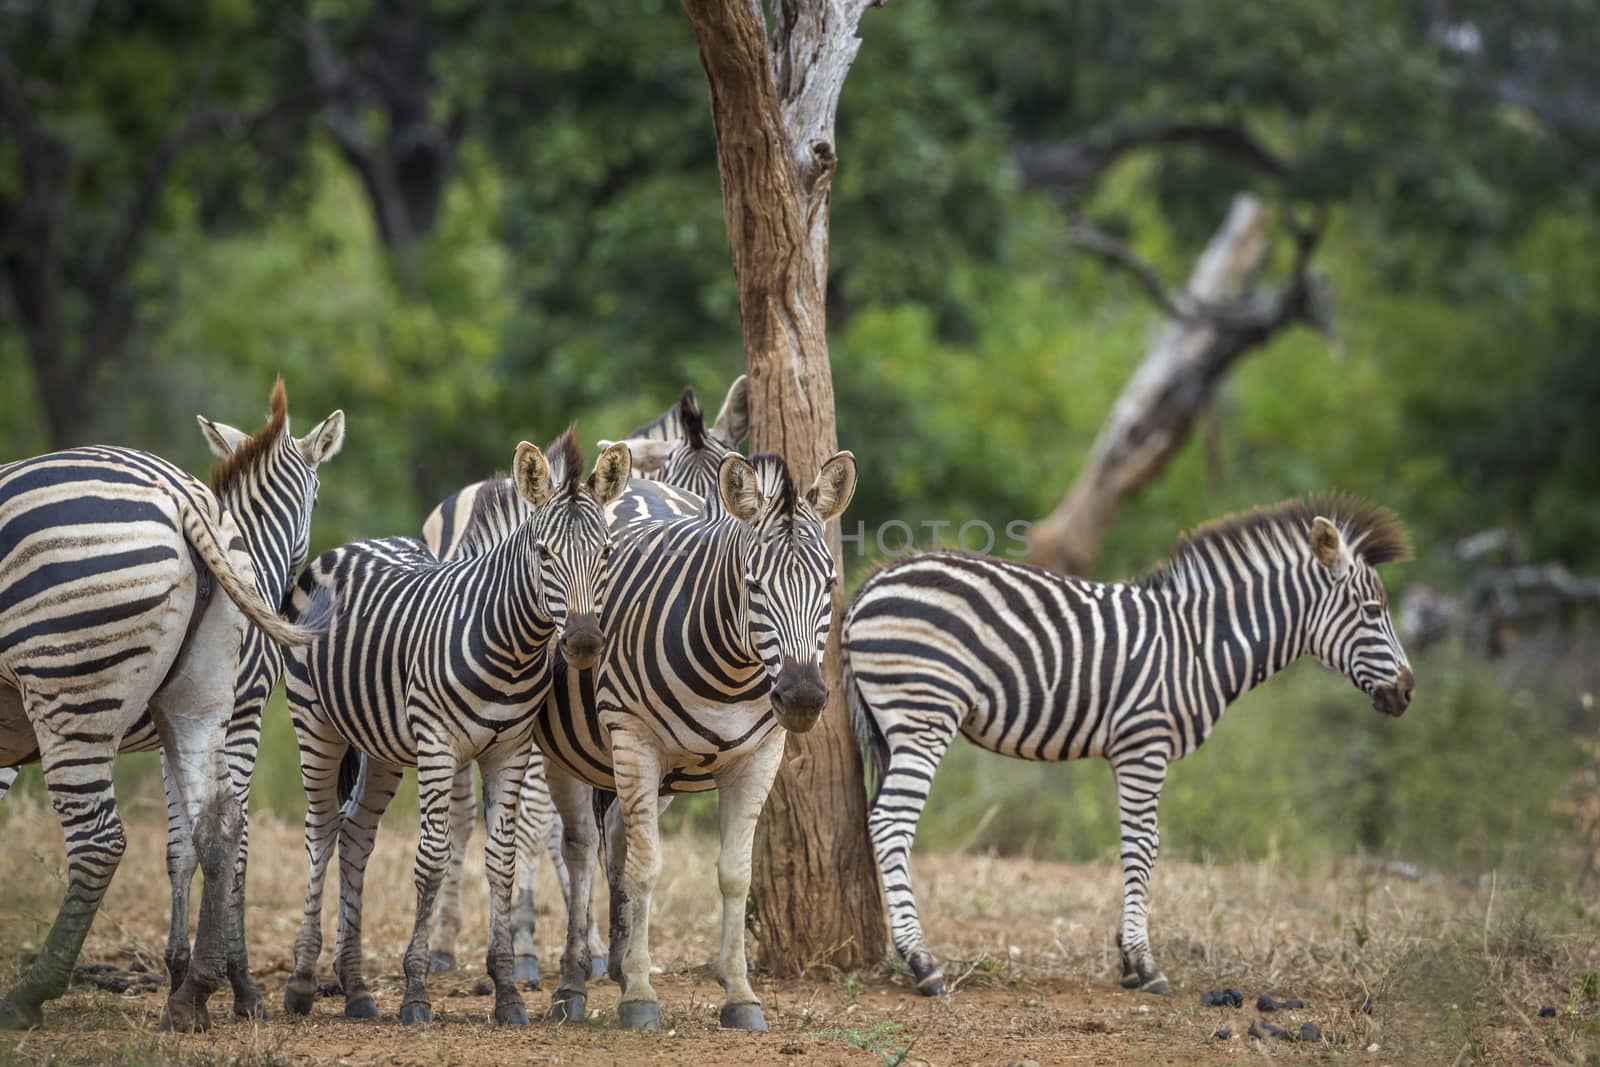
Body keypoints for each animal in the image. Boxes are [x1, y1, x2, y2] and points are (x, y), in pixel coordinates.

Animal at [0, 428, 324, 1036]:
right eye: (314, 499)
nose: (294, 587)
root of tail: (179, 497)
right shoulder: (238, 721)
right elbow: (219, 849)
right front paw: (226, 982)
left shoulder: (189, 725)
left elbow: (192, 846)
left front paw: (190, 977)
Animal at [278, 431, 627, 1023]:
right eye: (543, 553)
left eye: (605, 553)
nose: (583, 643)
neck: (508, 644)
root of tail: (351, 545)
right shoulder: (438, 746)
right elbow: (433, 860)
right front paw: (416, 989)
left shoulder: (510, 750)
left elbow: (502, 862)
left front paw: (507, 990)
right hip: (316, 723)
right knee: (322, 830)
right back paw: (302, 981)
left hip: (381, 746)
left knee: (355, 834)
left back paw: (356, 988)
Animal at [531, 447, 857, 1030]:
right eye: (753, 585)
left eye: (828, 583)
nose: (801, 697)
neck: (732, 673)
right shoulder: (635, 741)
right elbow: (648, 870)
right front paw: (640, 997)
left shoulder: (760, 757)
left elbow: (735, 875)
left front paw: (741, 994)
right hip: (573, 754)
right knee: (581, 849)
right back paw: (573, 984)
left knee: (617, 842)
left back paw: (618, 965)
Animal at [838, 495, 1414, 998]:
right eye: (1372, 610)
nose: (1408, 692)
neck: (1200, 647)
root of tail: (873, 583)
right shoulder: (1145, 744)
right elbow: (1144, 846)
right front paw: (1144, 963)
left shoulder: (1126, 753)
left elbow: (1134, 844)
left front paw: (1125, 958)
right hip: (925, 715)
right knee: (891, 822)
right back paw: (922, 963)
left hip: (900, 724)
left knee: (880, 817)